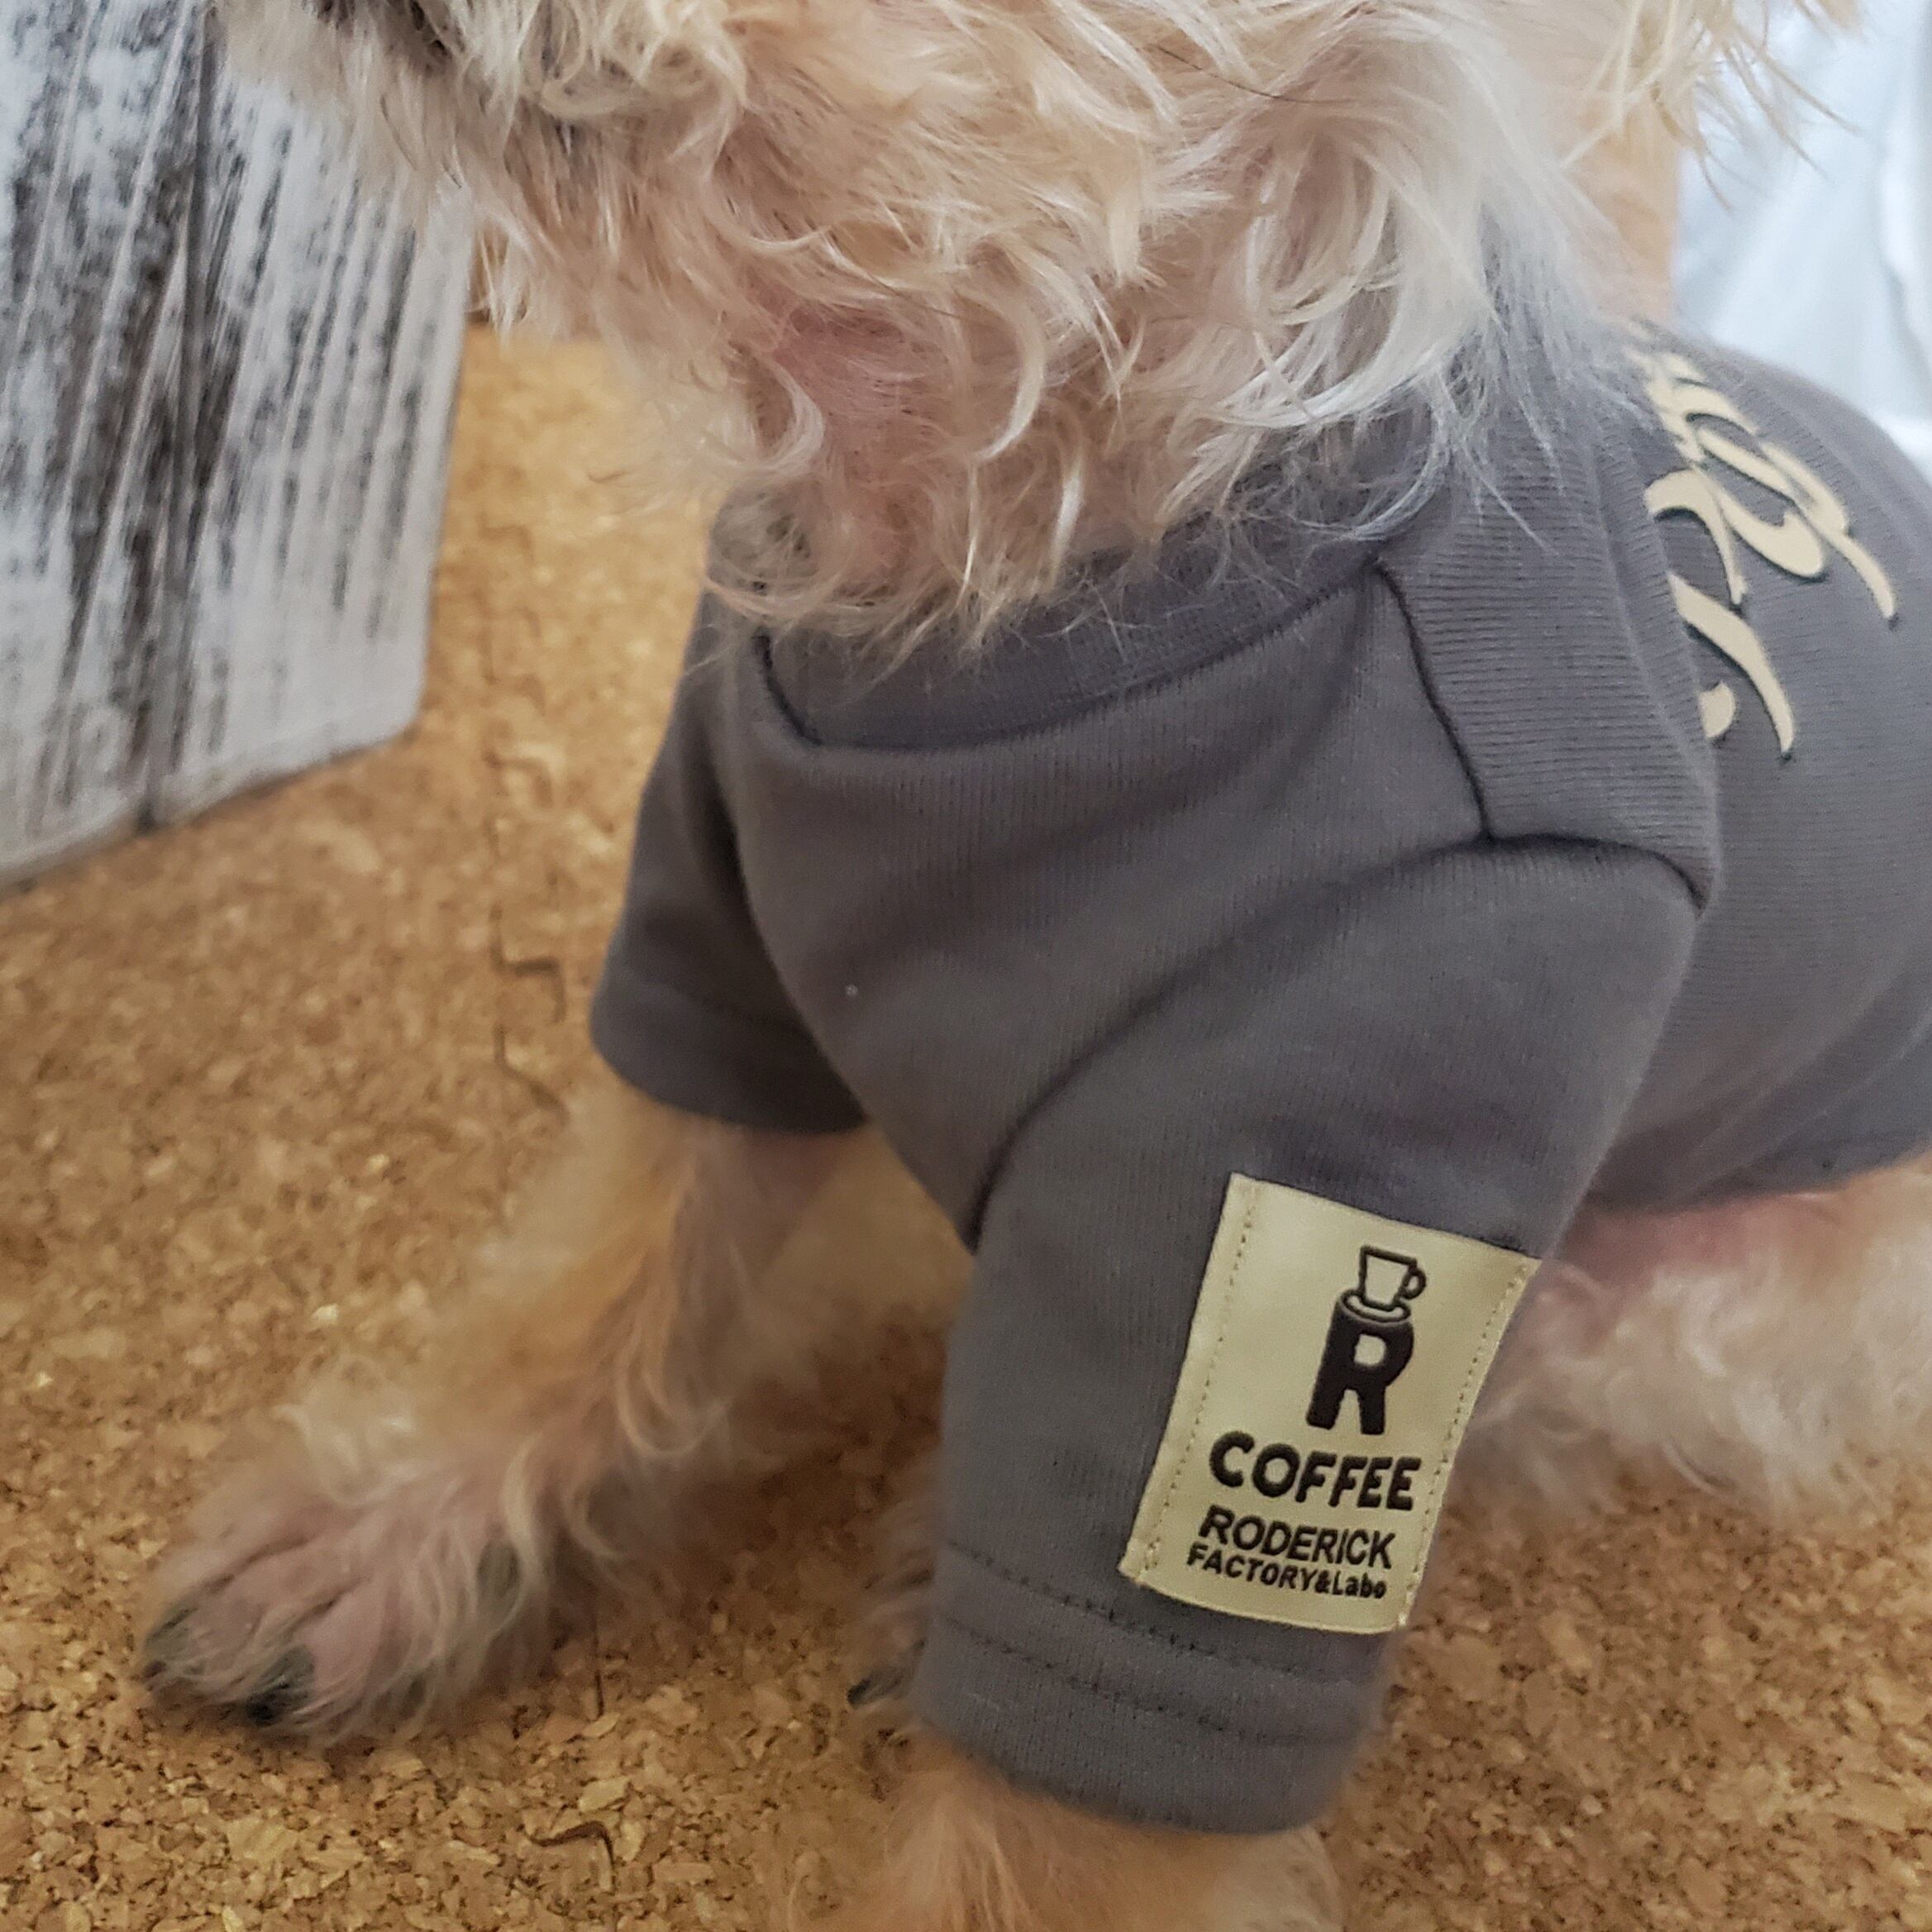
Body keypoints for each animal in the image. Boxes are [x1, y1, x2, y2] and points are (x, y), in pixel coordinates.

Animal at [143, 0, 1932, 1925]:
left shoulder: (1310, 1182)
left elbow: (1062, 1806)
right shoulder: (714, 948)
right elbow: (608, 1263)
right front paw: (393, 1518)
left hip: (1705, 1284)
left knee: (1528, 1376)